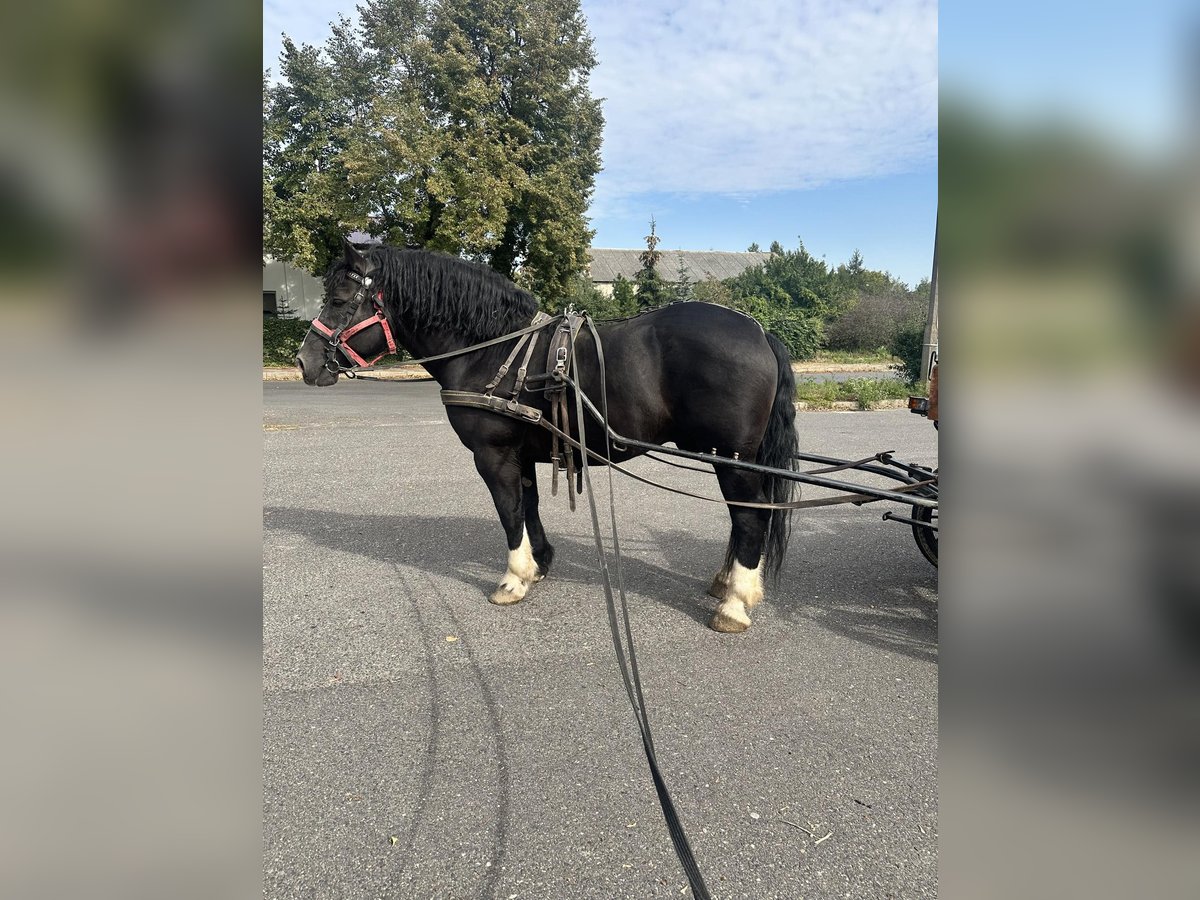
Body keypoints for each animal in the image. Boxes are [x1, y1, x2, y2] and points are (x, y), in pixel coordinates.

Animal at [292, 241, 796, 633]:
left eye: (339, 300)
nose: (304, 361)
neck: (491, 348)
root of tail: (759, 331)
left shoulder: (492, 455)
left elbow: (509, 512)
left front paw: (514, 579)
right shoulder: (521, 453)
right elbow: (528, 506)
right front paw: (541, 562)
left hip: (732, 459)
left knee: (750, 517)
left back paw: (735, 602)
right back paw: (727, 582)